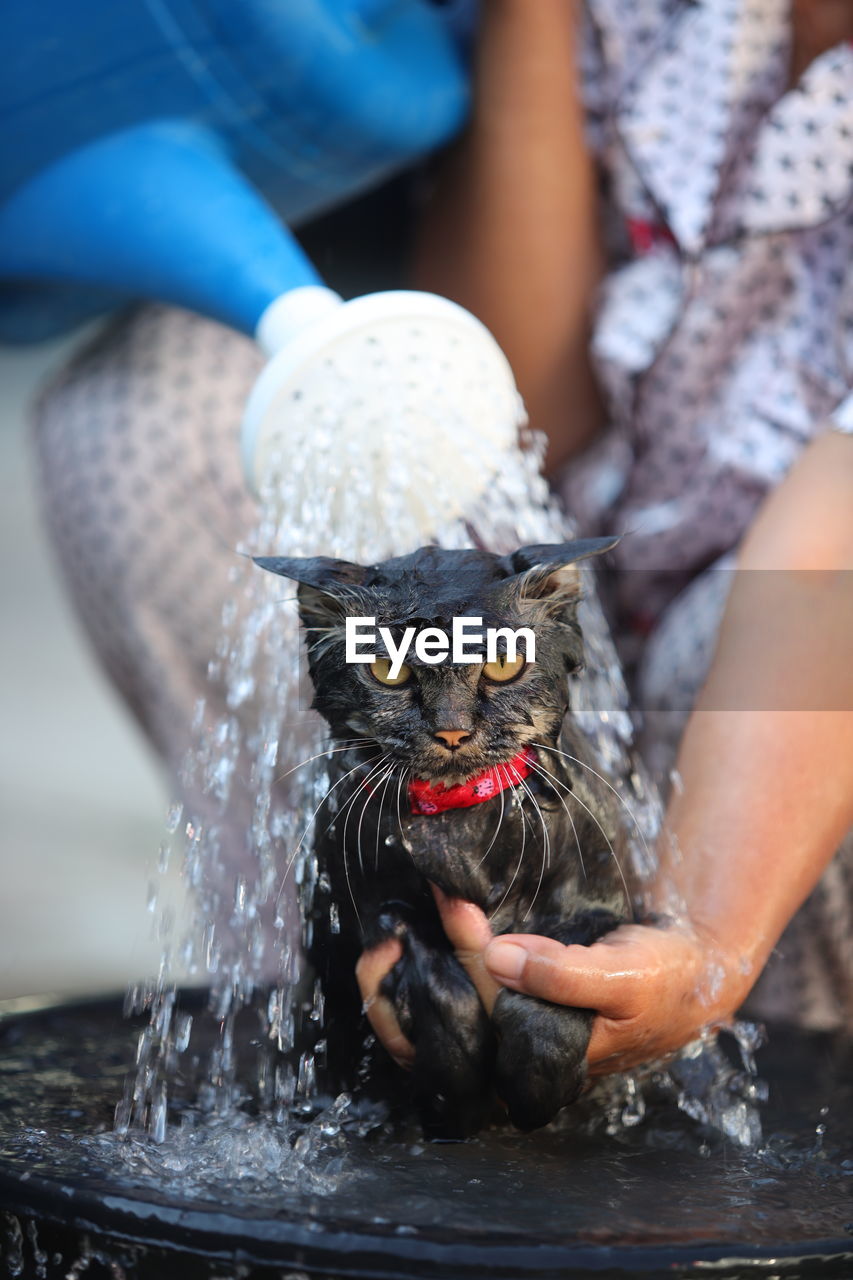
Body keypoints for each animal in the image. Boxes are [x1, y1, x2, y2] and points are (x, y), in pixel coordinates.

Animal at [256, 535, 635, 1136]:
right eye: (386, 669)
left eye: (504, 663)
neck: (459, 826)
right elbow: (433, 972)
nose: (453, 731)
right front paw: (456, 1093)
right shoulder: (365, 911)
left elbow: (562, 968)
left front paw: (534, 1086)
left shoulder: (604, 903)